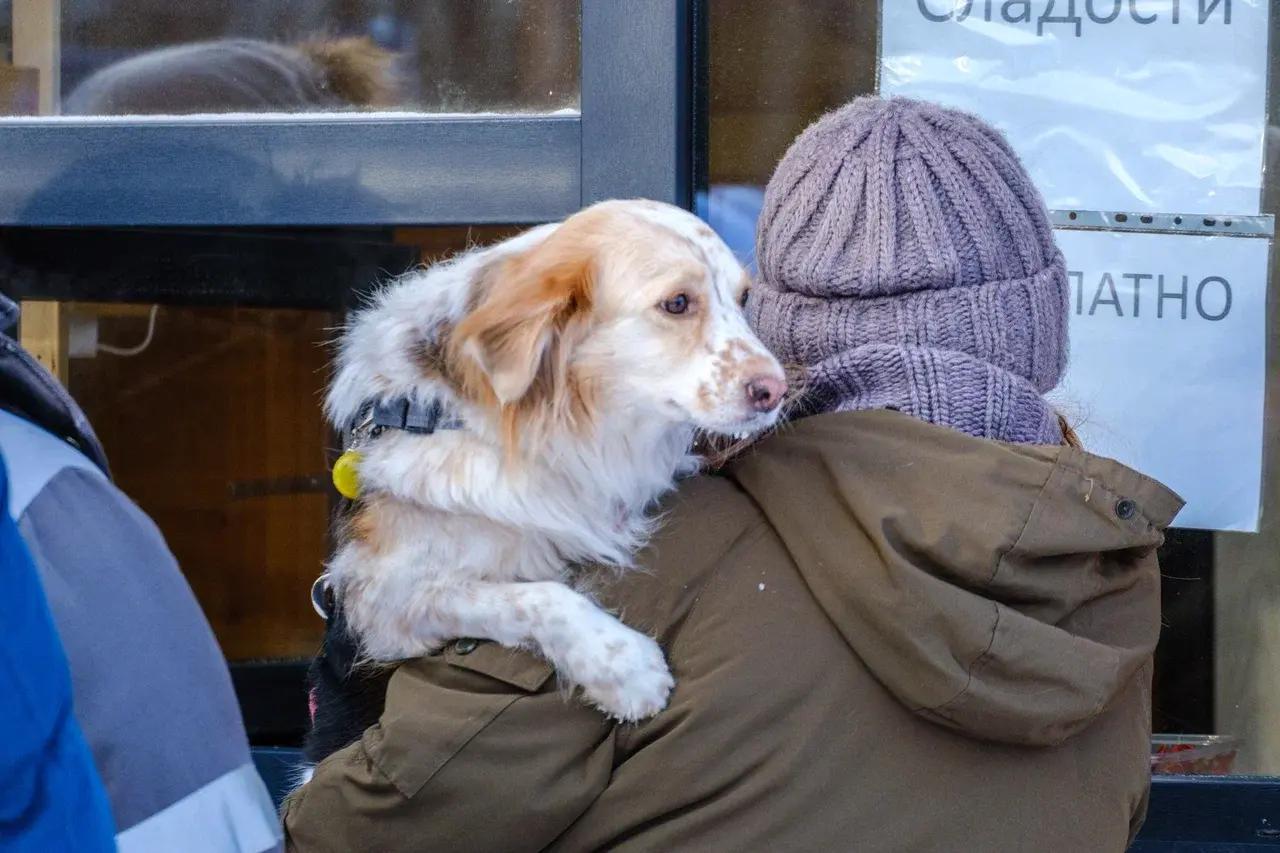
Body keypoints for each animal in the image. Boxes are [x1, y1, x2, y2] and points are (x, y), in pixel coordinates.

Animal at [322, 201, 778, 722]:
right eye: (678, 302)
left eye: (744, 297)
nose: (776, 390)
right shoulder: (381, 603)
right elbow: (535, 595)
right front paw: (622, 666)